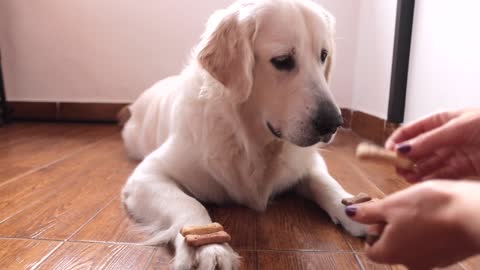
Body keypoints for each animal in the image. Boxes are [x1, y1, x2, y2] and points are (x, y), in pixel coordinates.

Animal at [122, 0, 366, 268]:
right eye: (282, 60)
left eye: (323, 55)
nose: (334, 123)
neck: (249, 140)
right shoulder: (147, 175)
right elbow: (188, 202)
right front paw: (209, 247)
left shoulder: (308, 161)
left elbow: (325, 182)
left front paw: (352, 208)